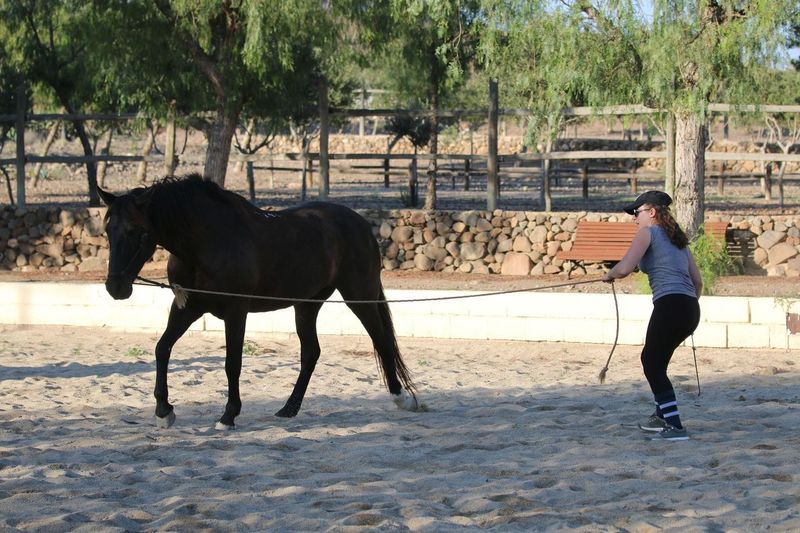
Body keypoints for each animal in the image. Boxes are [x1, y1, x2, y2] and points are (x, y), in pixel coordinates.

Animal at [98, 174, 421, 430]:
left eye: (137, 232)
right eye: (109, 231)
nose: (115, 287)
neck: (205, 243)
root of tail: (360, 223)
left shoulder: (236, 311)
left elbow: (232, 363)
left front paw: (228, 416)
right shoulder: (187, 307)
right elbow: (162, 349)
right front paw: (164, 411)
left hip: (358, 295)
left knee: (380, 339)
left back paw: (400, 398)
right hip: (307, 304)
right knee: (311, 353)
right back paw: (288, 409)